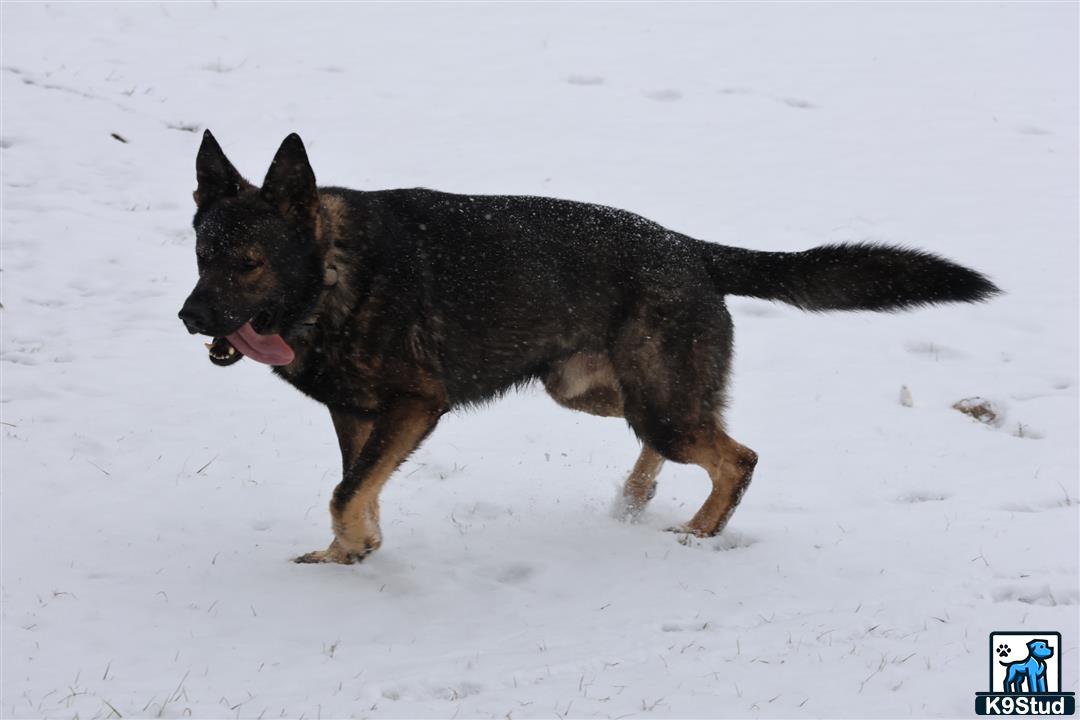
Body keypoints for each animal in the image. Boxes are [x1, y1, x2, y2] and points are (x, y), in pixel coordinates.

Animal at [177, 132, 993, 565]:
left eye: (247, 261)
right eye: (202, 253)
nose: (189, 317)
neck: (330, 276)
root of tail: (691, 250)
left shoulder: (415, 405)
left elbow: (347, 490)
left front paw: (352, 552)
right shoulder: (358, 417)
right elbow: (357, 487)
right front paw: (350, 554)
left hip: (655, 401)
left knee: (736, 456)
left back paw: (697, 534)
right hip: (595, 389)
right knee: (683, 439)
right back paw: (635, 498)